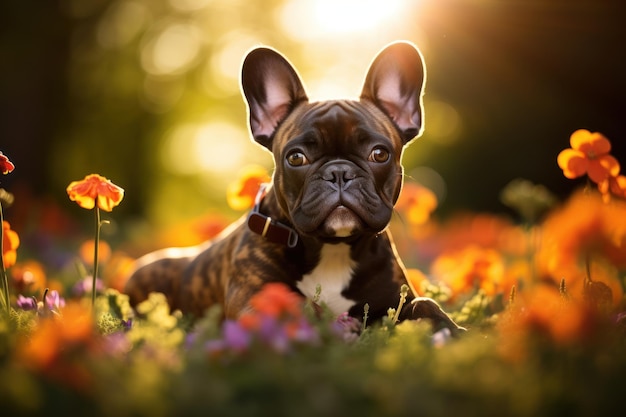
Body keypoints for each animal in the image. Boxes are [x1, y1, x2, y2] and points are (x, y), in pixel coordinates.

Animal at [123, 41, 464, 334]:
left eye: (379, 154)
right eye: (296, 157)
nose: (338, 172)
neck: (333, 248)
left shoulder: (396, 300)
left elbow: (425, 304)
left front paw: (452, 329)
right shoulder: (254, 299)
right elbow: (300, 306)